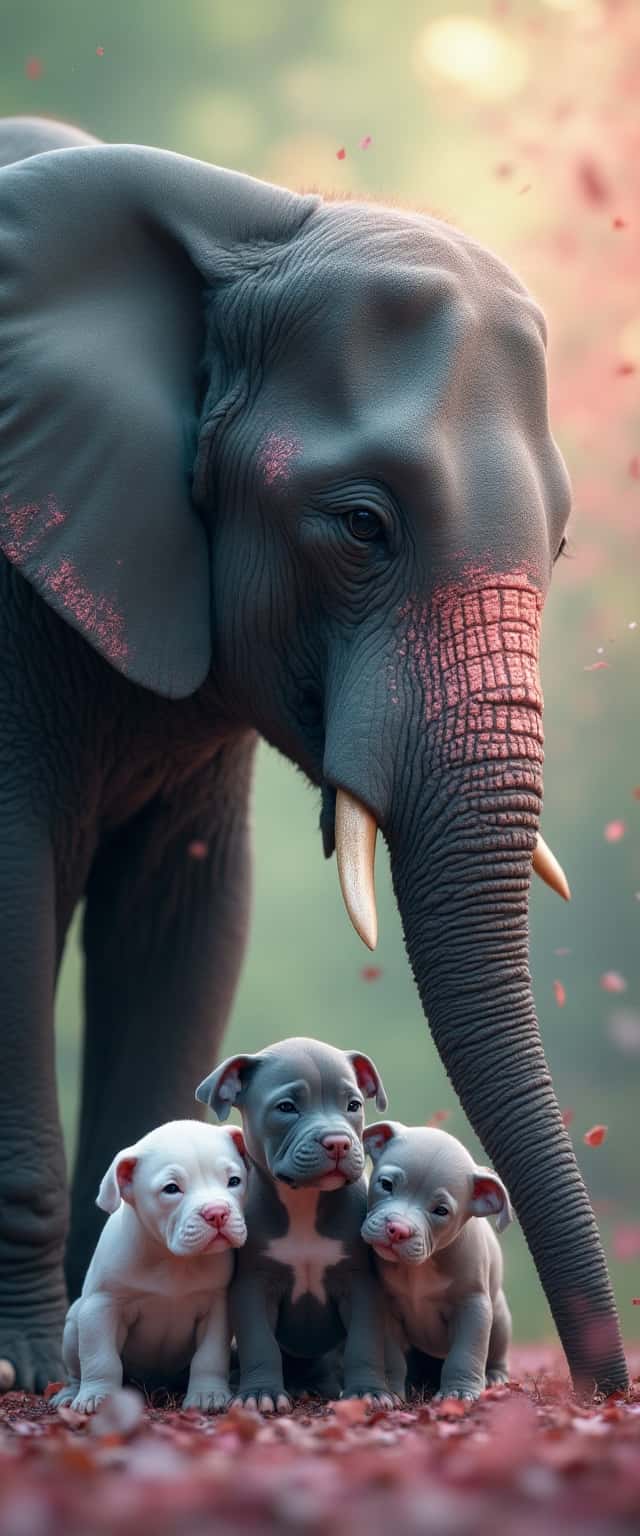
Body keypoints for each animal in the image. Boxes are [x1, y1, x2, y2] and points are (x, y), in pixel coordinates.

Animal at [0, 114, 627, 1398]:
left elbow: (187, 917)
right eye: (361, 525)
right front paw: (35, 1371)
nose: (609, 1385)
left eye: (560, 544)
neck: (248, 217)